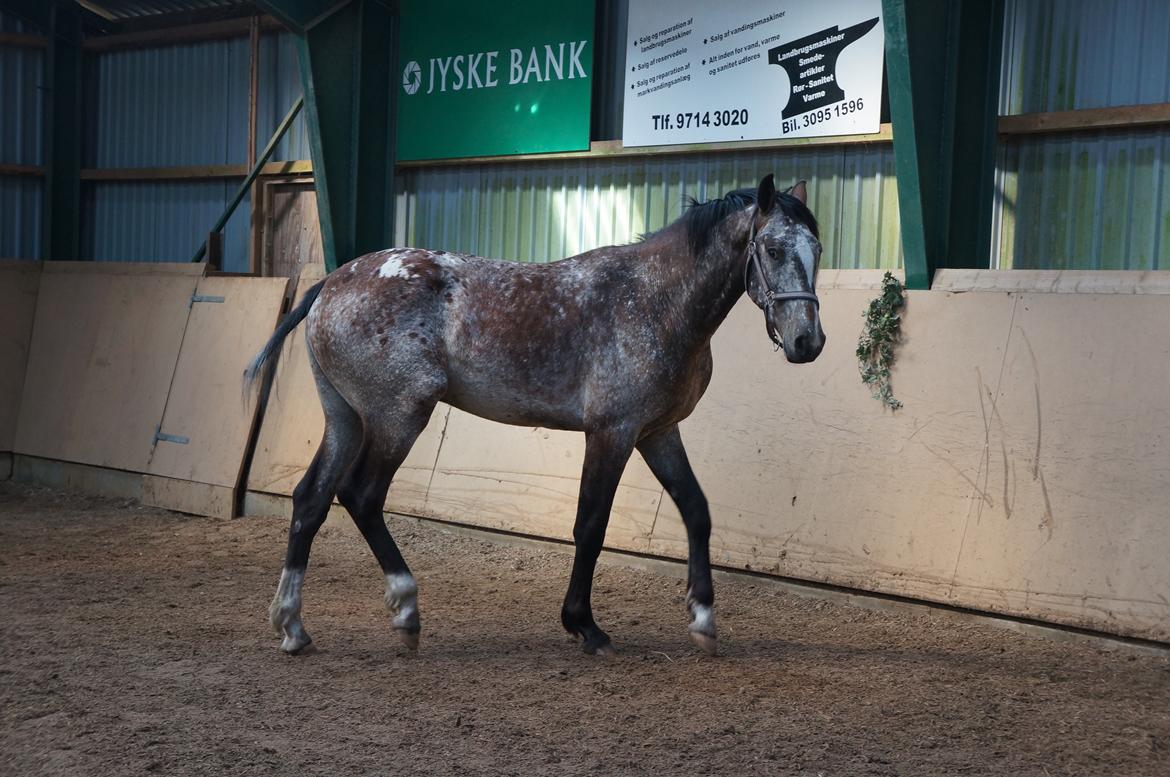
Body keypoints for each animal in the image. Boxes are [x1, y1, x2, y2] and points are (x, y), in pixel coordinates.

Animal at [249, 174, 823, 655]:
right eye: (773, 249)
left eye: (816, 249)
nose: (808, 341)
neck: (656, 301)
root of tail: (331, 284)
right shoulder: (611, 433)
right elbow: (590, 525)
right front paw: (584, 625)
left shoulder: (658, 432)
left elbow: (697, 512)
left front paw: (703, 619)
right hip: (399, 417)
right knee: (361, 496)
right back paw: (406, 611)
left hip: (346, 419)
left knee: (310, 501)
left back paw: (292, 626)